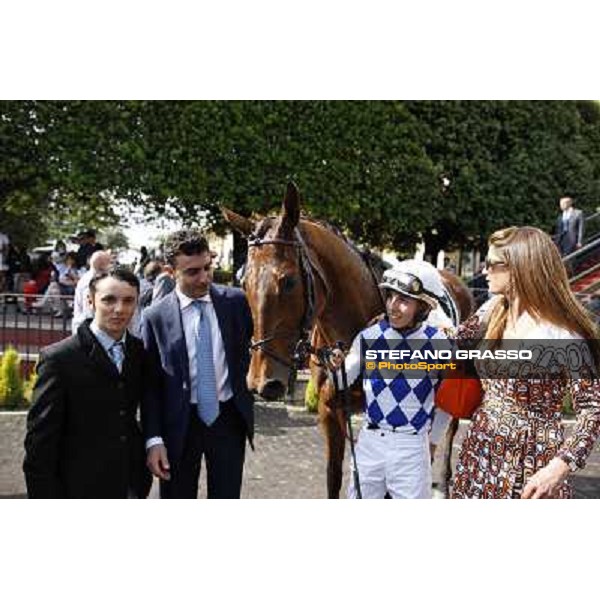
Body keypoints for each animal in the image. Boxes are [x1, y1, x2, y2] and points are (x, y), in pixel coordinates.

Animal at [223, 182, 472, 496]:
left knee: (448, 429)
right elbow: (335, 476)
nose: (261, 383)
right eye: (244, 281)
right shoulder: (330, 412)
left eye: (288, 281)